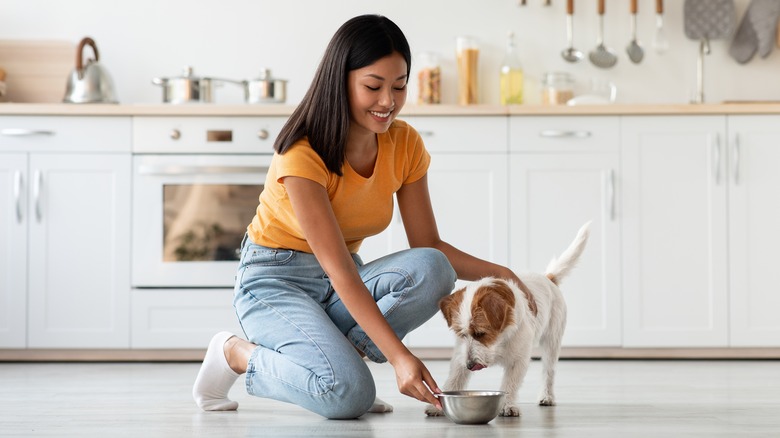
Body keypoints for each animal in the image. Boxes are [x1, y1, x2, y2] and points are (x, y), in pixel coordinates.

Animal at [426, 222, 592, 418]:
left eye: (480, 333)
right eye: (461, 334)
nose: (470, 365)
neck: (500, 340)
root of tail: (548, 278)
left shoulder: (518, 360)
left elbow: (510, 384)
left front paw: (507, 405)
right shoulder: (460, 356)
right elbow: (454, 379)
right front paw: (438, 405)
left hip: (552, 342)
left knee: (549, 371)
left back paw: (547, 396)